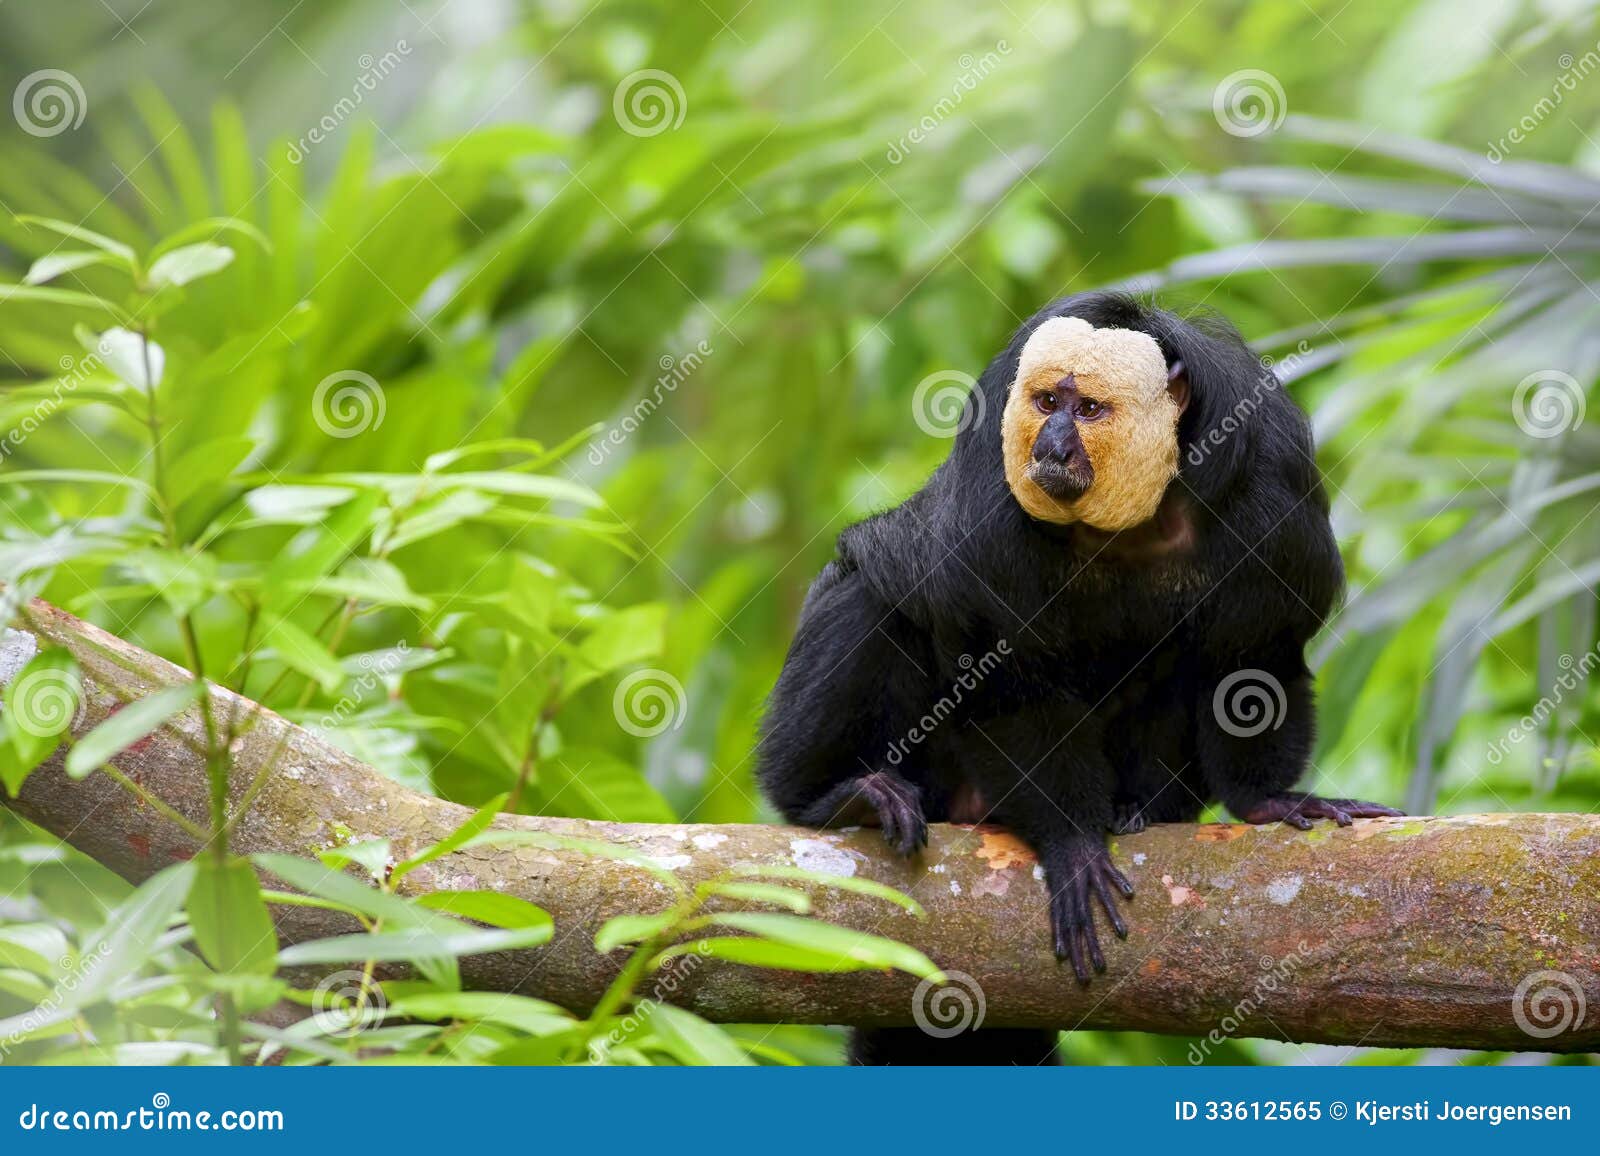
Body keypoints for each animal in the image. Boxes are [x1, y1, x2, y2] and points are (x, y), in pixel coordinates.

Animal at [755, 289, 1395, 1063]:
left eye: (1087, 409)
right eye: (1044, 402)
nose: (1051, 446)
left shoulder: (1272, 494)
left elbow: (1250, 663)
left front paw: (1267, 800)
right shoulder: (993, 514)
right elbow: (1007, 680)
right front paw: (1074, 844)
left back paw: (1139, 810)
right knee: (872, 590)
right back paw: (839, 798)